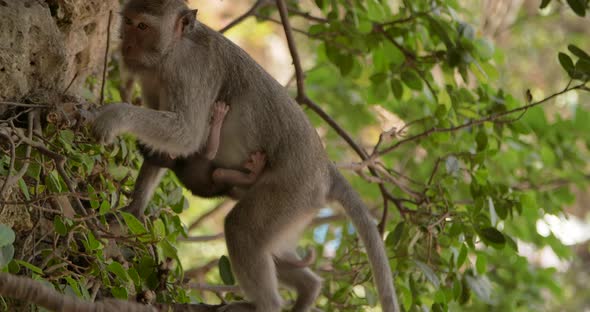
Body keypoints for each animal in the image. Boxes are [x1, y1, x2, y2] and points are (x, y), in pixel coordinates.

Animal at [92, 1, 402, 310]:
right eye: (128, 22)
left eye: (143, 26)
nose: (125, 44)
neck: (173, 50)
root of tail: (325, 168)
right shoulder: (152, 77)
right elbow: (165, 148)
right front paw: (133, 210)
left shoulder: (190, 72)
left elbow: (187, 135)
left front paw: (113, 116)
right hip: (297, 209)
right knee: (275, 249)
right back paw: (308, 289)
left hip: (293, 190)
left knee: (242, 230)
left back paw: (267, 304)